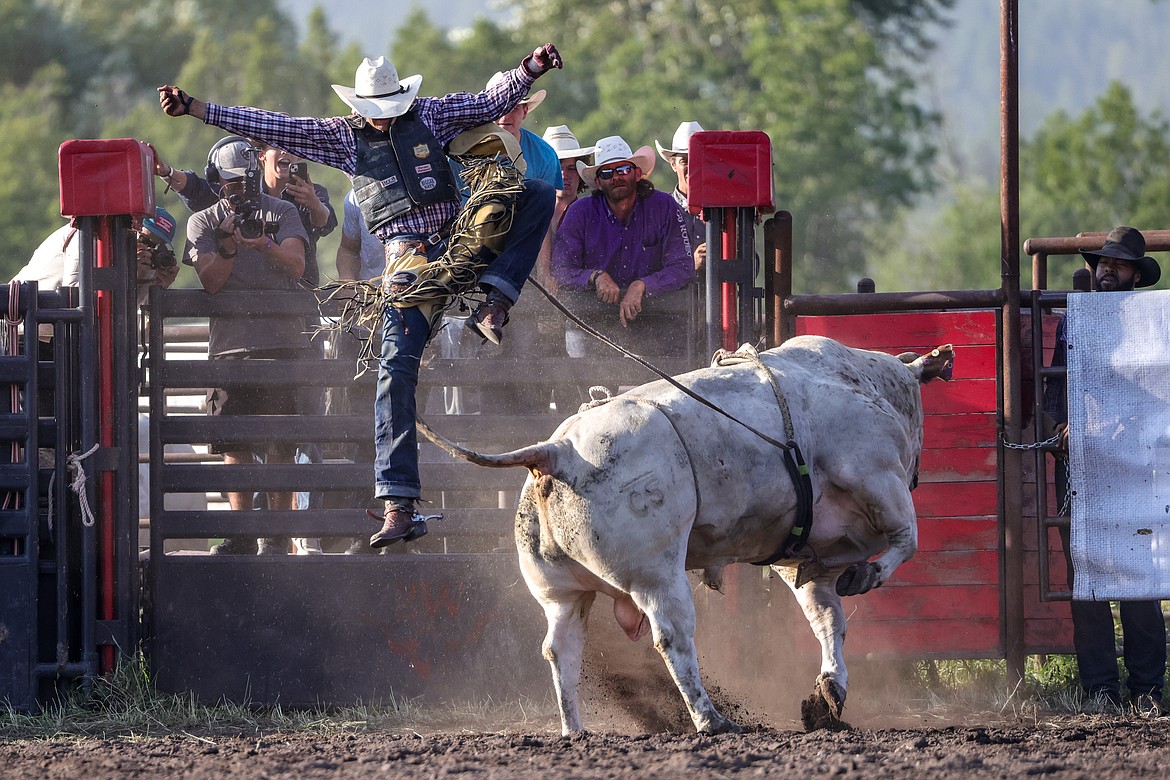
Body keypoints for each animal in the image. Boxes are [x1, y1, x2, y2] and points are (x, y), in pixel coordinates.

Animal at [421, 336, 950, 734]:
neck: (865, 381)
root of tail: (556, 451)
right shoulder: (875, 476)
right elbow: (906, 538)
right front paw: (867, 575)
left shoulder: (806, 559)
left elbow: (827, 620)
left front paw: (829, 693)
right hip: (656, 574)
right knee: (673, 637)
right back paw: (712, 720)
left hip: (560, 592)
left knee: (561, 649)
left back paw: (576, 731)